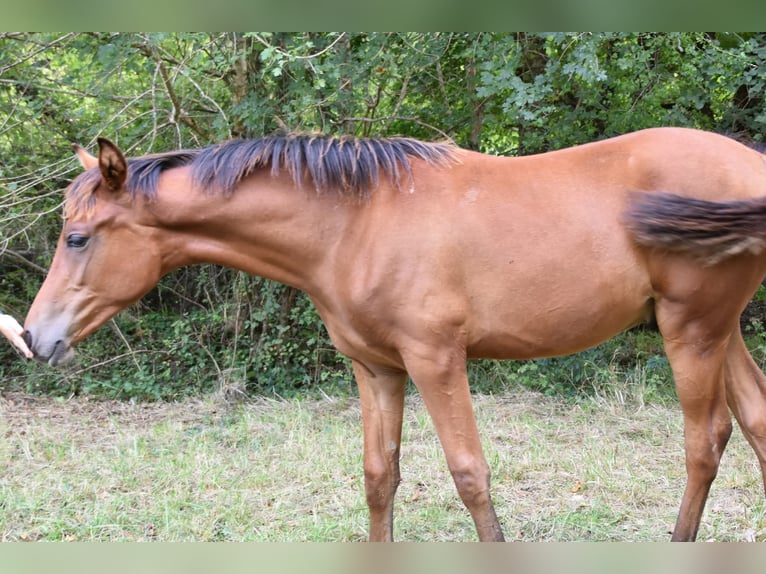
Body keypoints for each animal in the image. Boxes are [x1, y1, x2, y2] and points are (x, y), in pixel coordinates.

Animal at [22, 127, 766, 541]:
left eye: (77, 237)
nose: (34, 337)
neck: (355, 222)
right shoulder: (376, 368)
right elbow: (380, 478)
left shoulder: (436, 361)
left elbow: (470, 476)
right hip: (717, 330)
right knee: (754, 421)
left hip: (692, 329)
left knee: (706, 442)